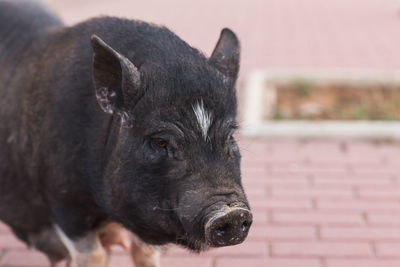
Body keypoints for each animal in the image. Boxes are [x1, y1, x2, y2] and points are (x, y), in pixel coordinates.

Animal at [0, 1, 250, 266]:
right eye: (160, 142)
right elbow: (92, 255)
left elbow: (144, 254)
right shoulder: (64, 202)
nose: (232, 213)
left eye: (230, 136)